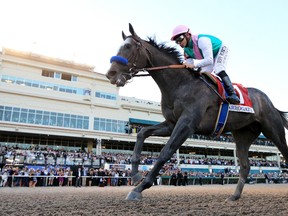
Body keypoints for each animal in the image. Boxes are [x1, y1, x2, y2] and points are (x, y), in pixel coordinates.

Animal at [106, 23, 288, 201]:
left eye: (128, 46)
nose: (111, 74)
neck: (181, 84)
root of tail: (269, 102)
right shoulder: (171, 124)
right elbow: (142, 133)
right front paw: (136, 175)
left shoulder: (187, 124)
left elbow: (166, 151)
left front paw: (140, 187)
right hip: (243, 135)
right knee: (245, 166)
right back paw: (234, 196)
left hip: (273, 130)